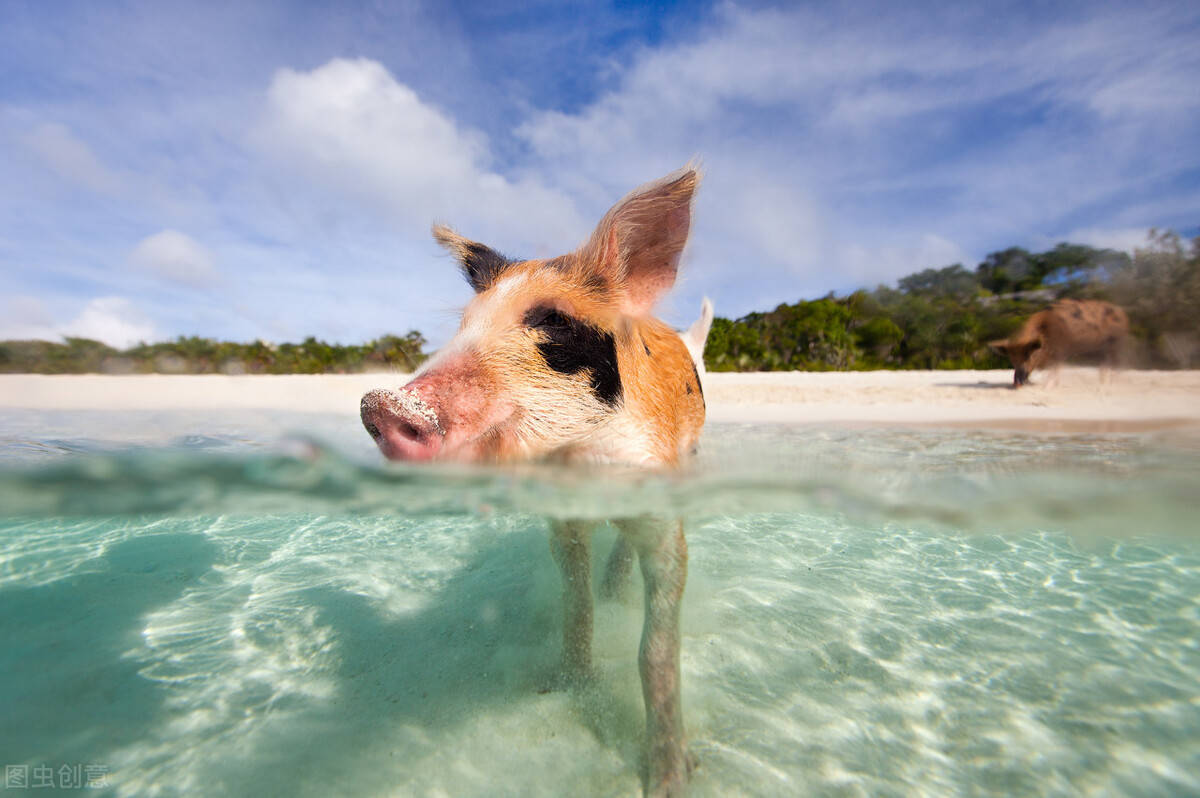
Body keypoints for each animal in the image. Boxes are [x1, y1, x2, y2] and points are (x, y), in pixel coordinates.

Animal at [360, 164, 705, 792]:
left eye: (551, 320)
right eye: (464, 325)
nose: (382, 404)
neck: (582, 463)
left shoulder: (664, 518)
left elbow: (656, 650)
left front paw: (670, 782)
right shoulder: (561, 524)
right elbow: (577, 607)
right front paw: (563, 690)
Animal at [988, 297, 1128, 386]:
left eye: (1029, 354)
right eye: (1011, 358)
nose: (1017, 383)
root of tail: (1122, 312)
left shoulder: (1061, 350)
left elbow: (1055, 369)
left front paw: (1050, 386)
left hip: (1116, 342)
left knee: (1116, 363)